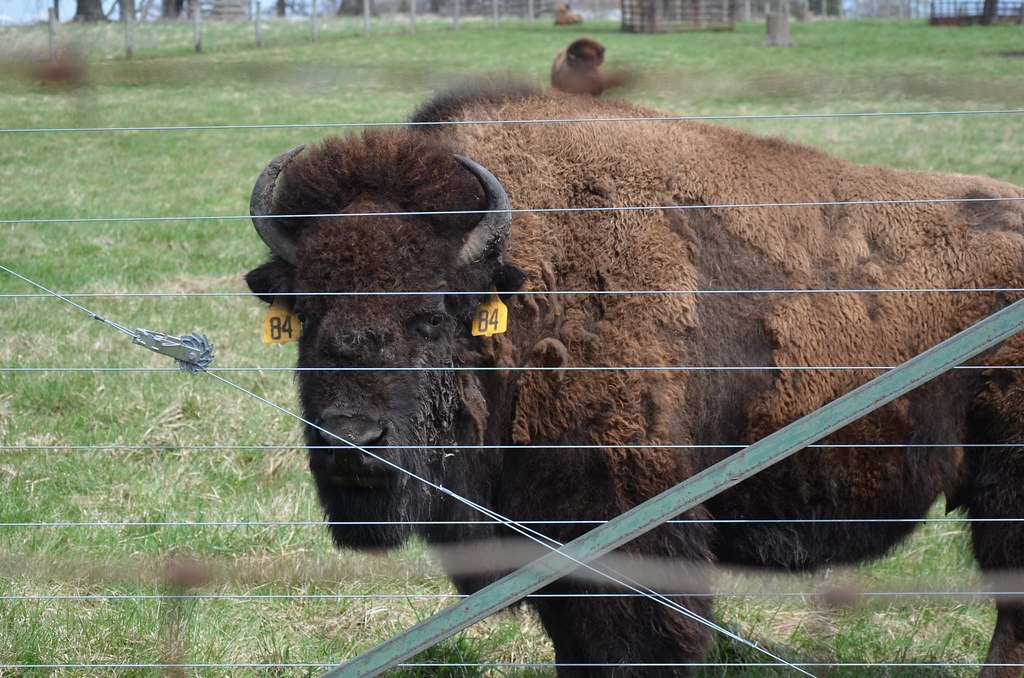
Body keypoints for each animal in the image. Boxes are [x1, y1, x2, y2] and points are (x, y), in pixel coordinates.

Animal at [246, 84, 1024, 676]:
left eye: (432, 315)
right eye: (306, 312)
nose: (352, 441)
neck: (529, 297)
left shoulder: (628, 530)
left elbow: (635, 646)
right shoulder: (549, 547)